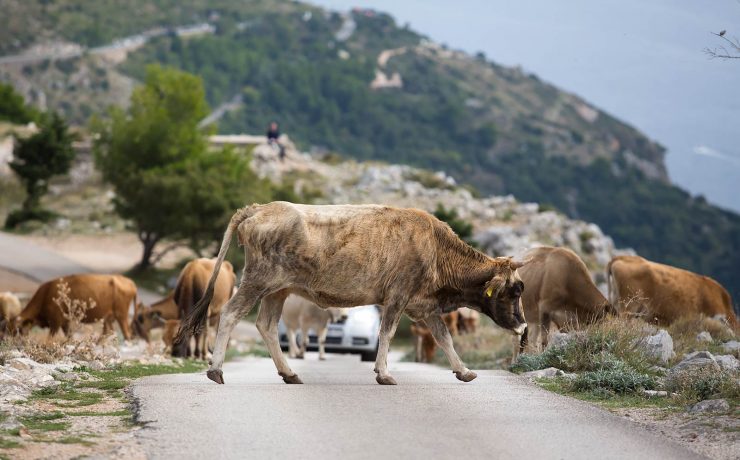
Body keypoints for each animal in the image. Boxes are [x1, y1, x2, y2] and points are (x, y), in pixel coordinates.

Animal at [8, 274, 139, 340]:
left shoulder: (55, 323)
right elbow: (69, 337)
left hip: (121, 316)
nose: (11, 343)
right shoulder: (65, 323)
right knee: (108, 332)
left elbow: (51, 338)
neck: (46, 293)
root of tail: (131, 283)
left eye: (18, 330)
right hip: (109, 318)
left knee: (127, 335)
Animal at [178, 201, 528, 384]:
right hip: (257, 281)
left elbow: (445, 339)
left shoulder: (425, 306)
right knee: (229, 314)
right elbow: (387, 334)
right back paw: (216, 369)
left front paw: (464, 370)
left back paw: (289, 372)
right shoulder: (398, 296)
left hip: (278, 290)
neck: (436, 248)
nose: (523, 325)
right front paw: (384, 373)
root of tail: (260, 208)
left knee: (266, 325)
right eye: (515, 290)